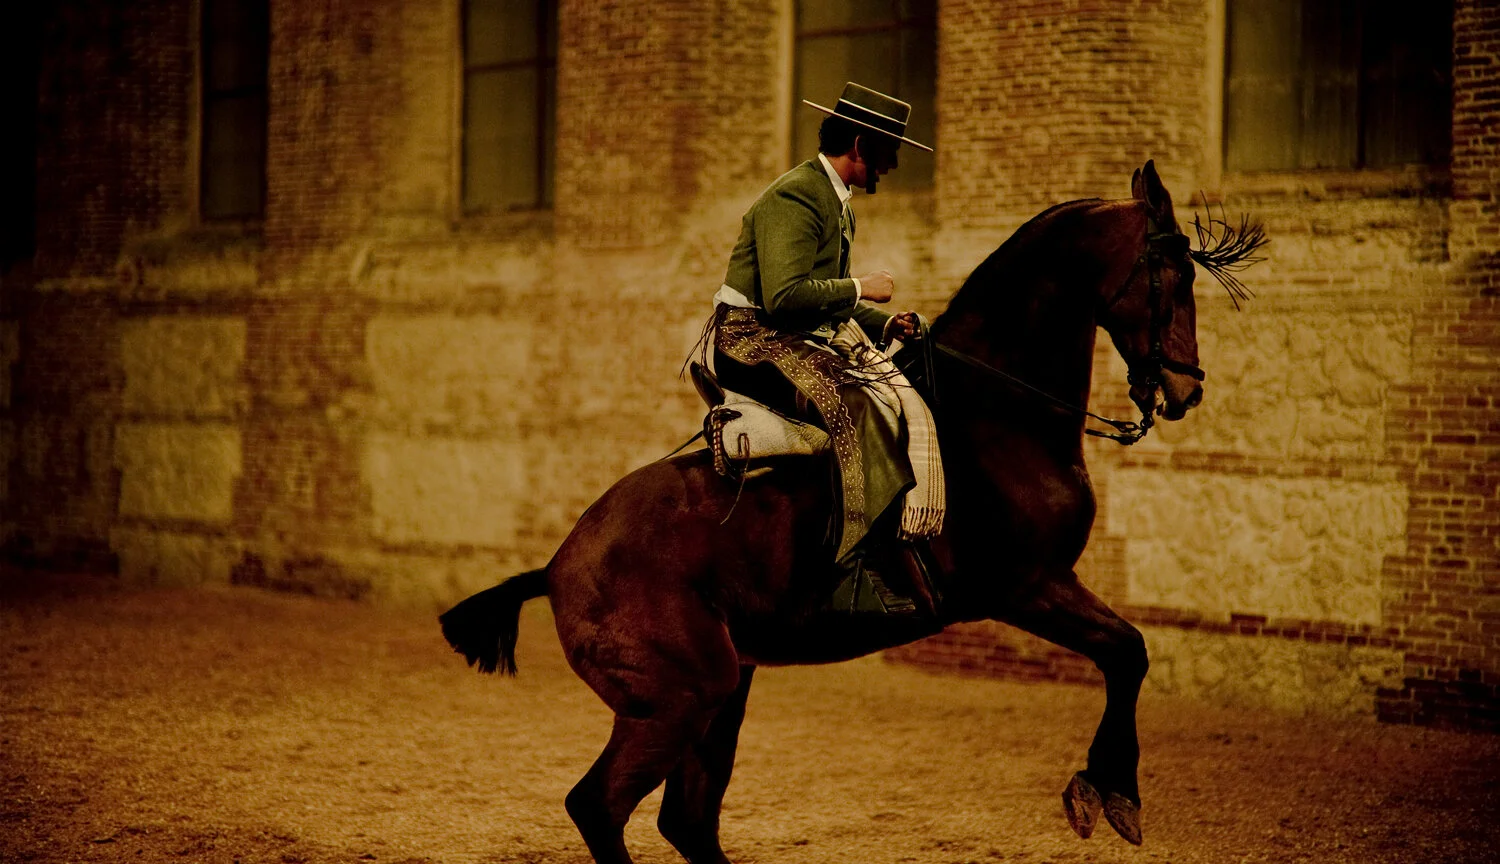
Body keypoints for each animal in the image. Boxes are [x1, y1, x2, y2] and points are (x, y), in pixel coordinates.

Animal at [440, 161, 1263, 864]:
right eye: (1171, 274)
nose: (1188, 388)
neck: (998, 415)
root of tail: (560, 562)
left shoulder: (1038, 587)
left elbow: (1129, 652)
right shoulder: (1029, 586)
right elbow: (1129, 652)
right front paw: (1109, 794)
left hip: (723, 691)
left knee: (686, 819)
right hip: (679, 699)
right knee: (601, 806)